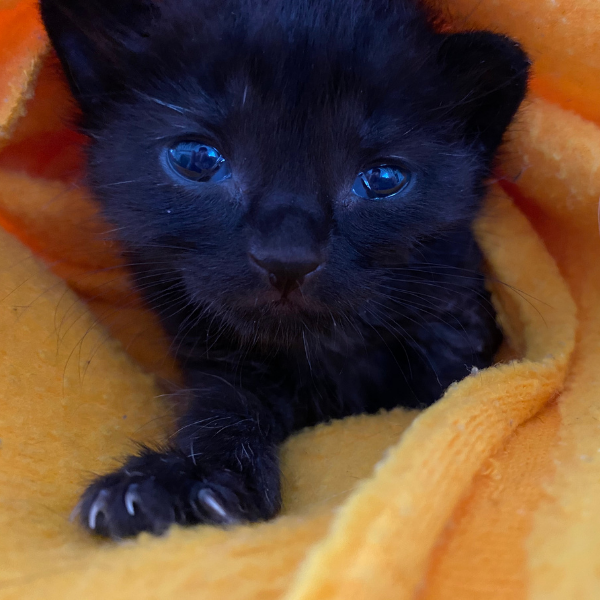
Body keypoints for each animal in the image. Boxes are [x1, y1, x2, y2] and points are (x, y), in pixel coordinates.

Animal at [42, 0, 528, 536]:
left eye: (383, 178)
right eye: (196, 158)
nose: (287, 256)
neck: (327, 359)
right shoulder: (223, 367)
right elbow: (222, 414)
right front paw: (174, 484)